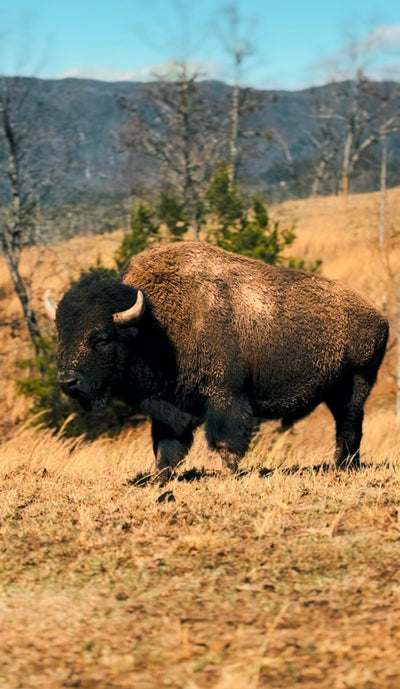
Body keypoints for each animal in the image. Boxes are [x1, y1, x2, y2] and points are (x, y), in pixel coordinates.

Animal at [48, 241, 389, 479]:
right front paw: (160, 477)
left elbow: (225, 440)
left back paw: (342, 467)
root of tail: (378, 316)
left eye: (102, 337)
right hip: (337, 392)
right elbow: (166, 445)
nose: (68, 381)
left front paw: (229, 473)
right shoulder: (169, 406)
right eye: (60, 333)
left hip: (355, 385)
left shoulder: (225, 396)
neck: (155, 324)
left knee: (348, 427)